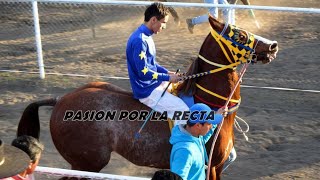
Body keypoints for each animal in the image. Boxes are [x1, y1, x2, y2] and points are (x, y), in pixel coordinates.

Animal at [16, 16, 278, 179]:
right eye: (240, 36)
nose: (273, 46)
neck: (213, 106)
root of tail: (60, 100)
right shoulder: (210, 167)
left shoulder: (219, 168)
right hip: (86, 164)